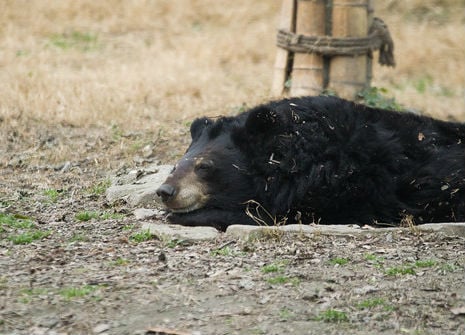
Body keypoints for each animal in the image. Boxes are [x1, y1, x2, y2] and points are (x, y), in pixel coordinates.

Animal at [157, 95, 464, 231]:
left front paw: (185, 216)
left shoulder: (338, 188)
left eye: (204, 167)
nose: (165, 192)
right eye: (175, 166)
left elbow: (272, 214)